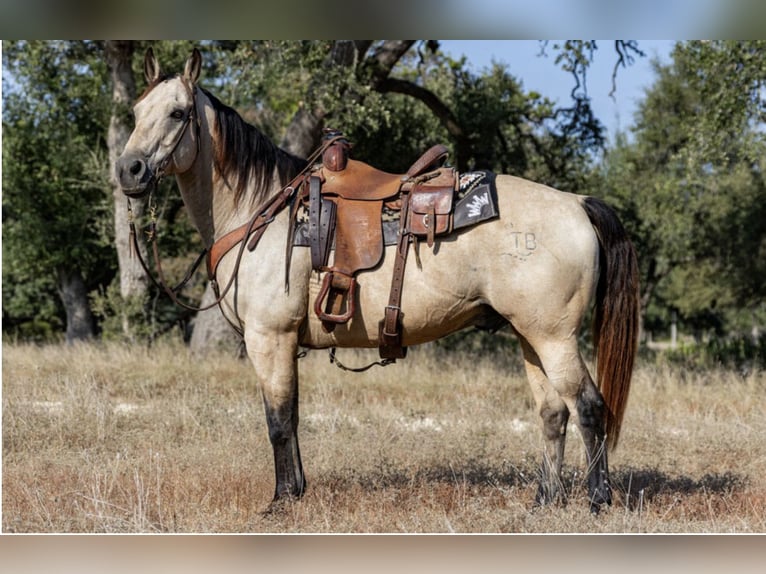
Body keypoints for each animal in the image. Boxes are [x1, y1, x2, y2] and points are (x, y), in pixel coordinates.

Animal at [115, 48, 640, 514]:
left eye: (178, 113)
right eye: (136, 111)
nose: (129, 170)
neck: (261, 212)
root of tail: (576, 203)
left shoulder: (270, 338)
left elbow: (278, 421)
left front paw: (281, 501)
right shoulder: (283, 343)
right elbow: (293, 417)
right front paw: (298, 491)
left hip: (554, 338)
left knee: (589, 406)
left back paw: (598, 501)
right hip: (531, 337)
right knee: (553, 412)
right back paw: (545, 502)